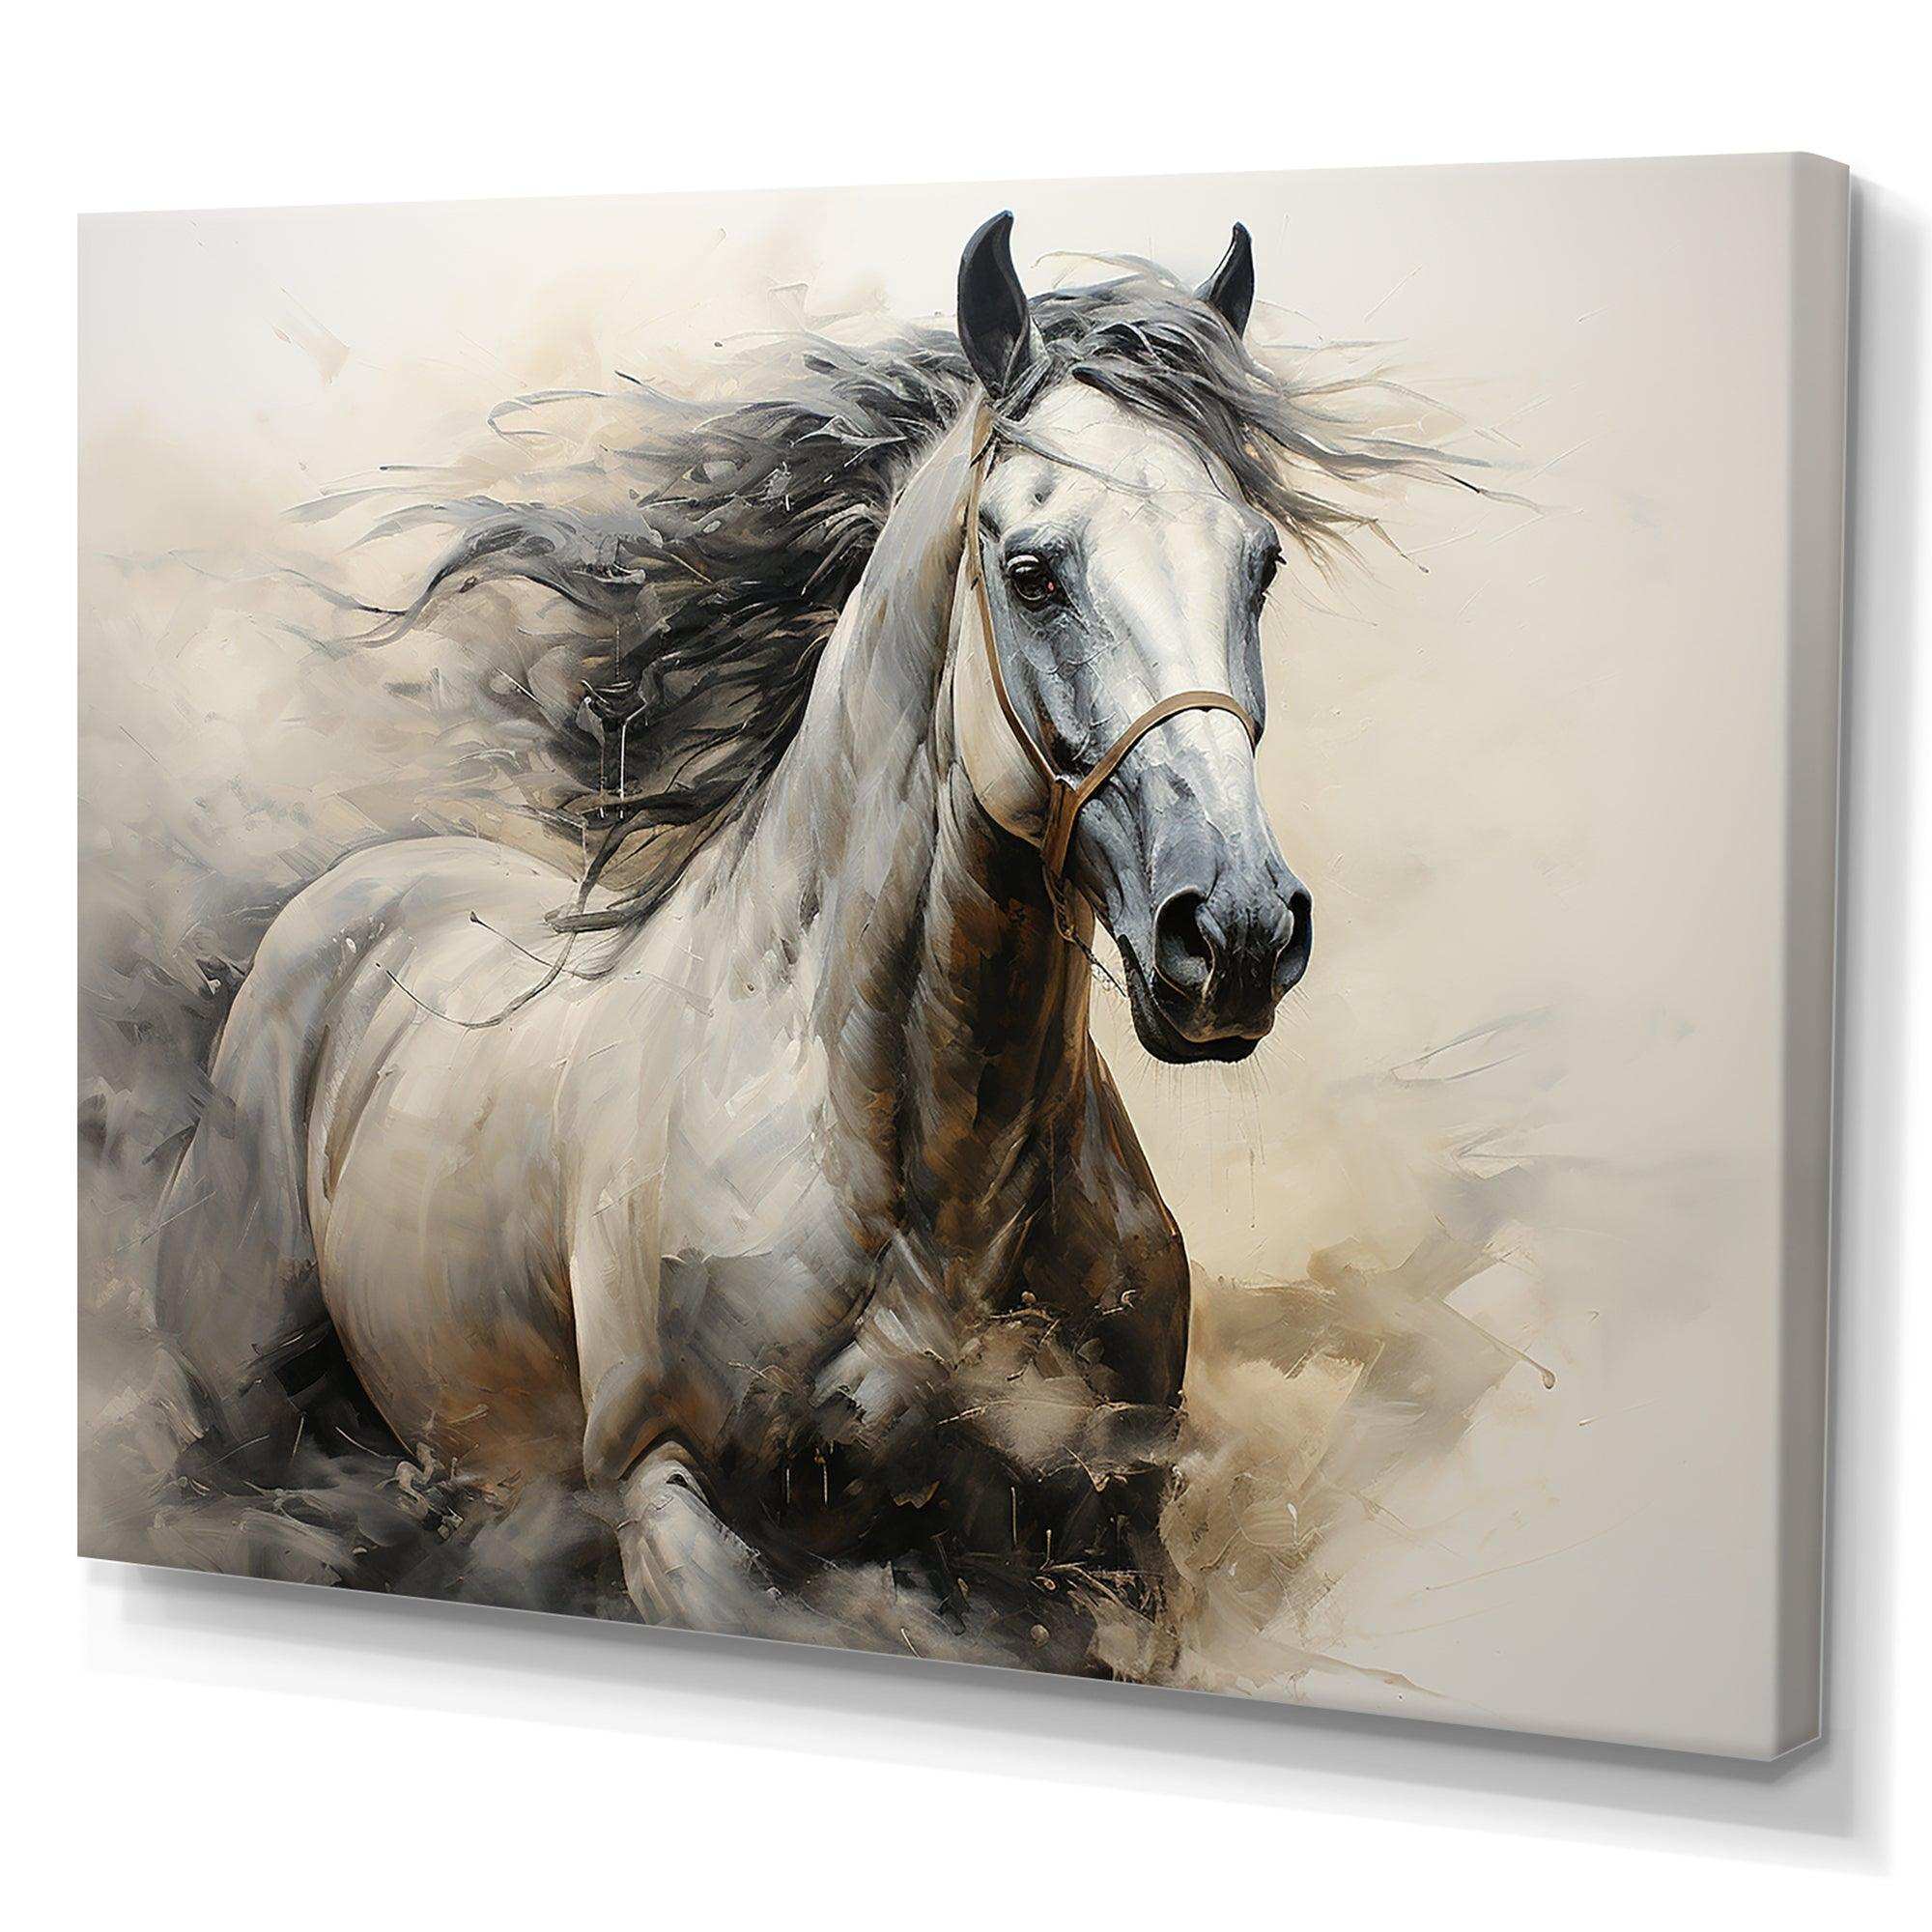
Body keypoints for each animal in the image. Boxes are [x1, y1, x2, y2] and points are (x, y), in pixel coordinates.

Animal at [157, 212, 1386, 1674]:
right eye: (1031, 573)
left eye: (1257, 562)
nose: (1237, 932)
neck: (923, 1185)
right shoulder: (674, 1510)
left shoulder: (1102, 1560)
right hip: (249, 1435)